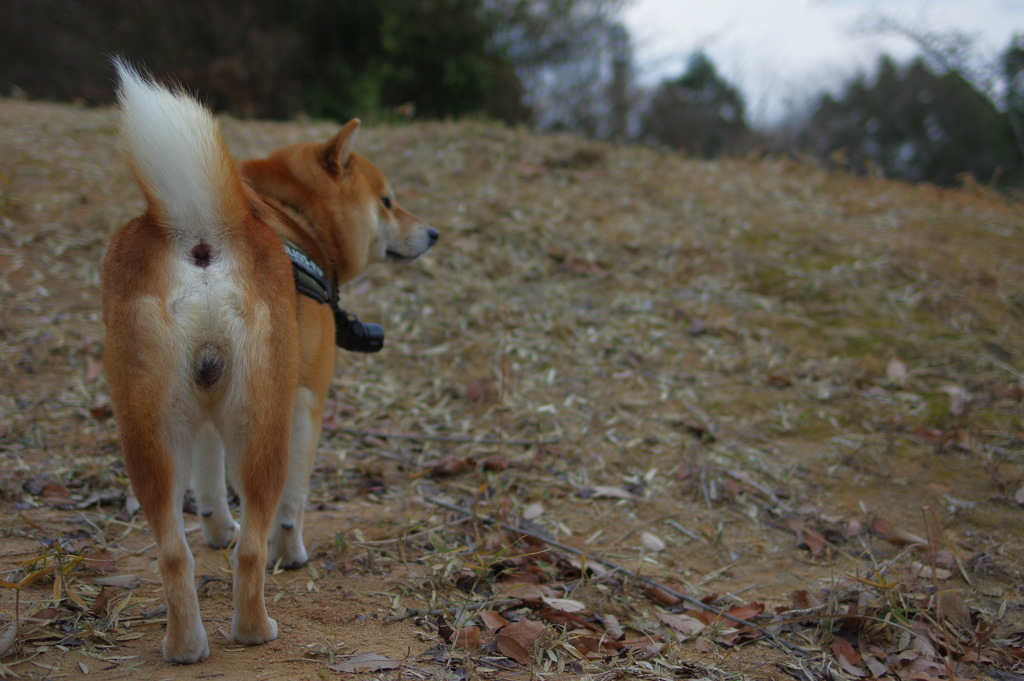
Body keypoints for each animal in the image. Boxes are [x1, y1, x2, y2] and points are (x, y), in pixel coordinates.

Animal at [101, 61, 438, 659]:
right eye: (388, 201)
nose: (434, 232)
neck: (291, 216)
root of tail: (201, 236)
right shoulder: (307, 401)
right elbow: (294, 503)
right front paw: (294, 551)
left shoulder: (207, 418)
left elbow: (209, 490)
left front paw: (217, 531)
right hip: (264, 427)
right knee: (253, 548)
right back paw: (254, 629)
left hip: (153, 433)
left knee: (173, 551)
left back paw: (185, 646)